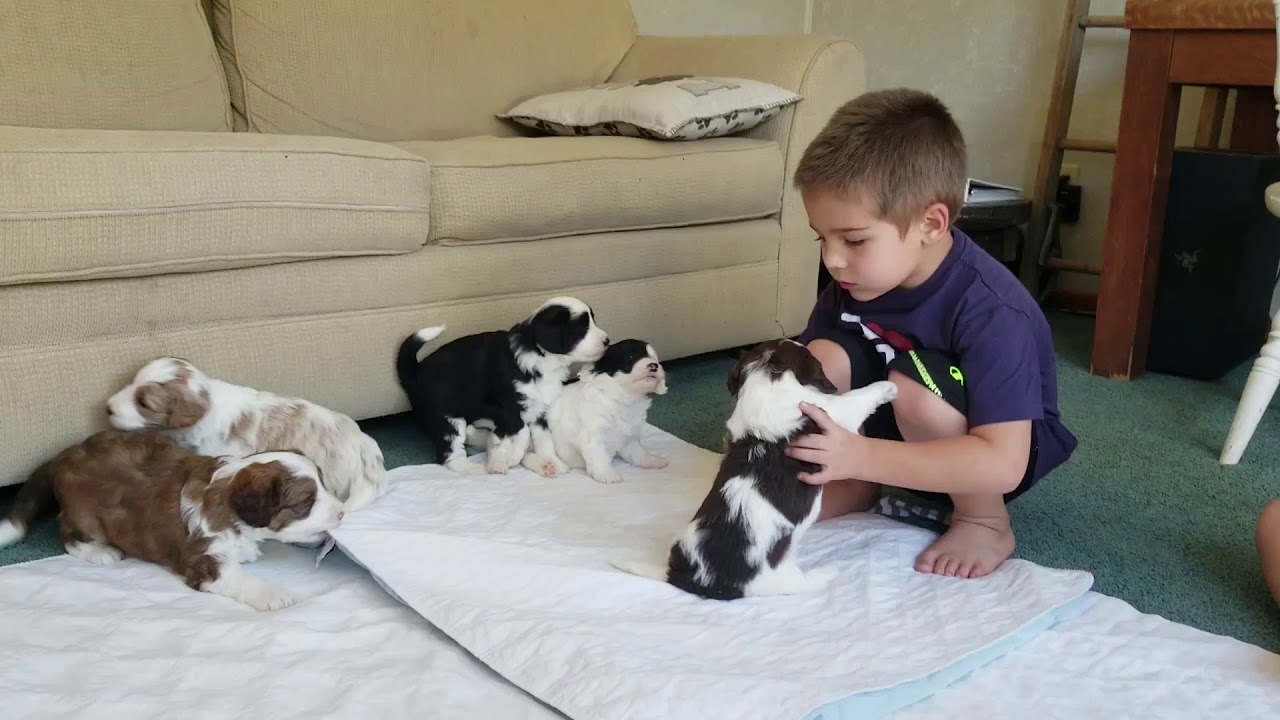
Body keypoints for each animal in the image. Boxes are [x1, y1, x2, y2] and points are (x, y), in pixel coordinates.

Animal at [0, 427, 345, 607]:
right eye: (305, 502)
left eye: (324, 484)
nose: (342, 513)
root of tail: (65, 454)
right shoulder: (204, 560)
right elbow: (238, 577)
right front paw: (273, 595)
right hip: (85, 518)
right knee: (68, 534)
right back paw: (101, 552)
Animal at [394, 297, 609, 476]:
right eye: (581, 328)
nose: (607, 340)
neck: (542, 359)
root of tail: (416, 371)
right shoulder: (500, 409)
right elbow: (522, 430)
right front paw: (513, 455)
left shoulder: (539, 410)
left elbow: (544, 439)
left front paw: (551, 460)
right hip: (448, 420)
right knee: (449, 455)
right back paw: (476, 468)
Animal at [545, 335, 670, 481]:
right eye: (631, 356)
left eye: (654, 358)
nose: (654, 365)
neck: (621, 398)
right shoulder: (593, 434)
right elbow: (598, 455)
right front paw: (606, 474)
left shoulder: (628, 435)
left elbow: (637, 451)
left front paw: (650, 461)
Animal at [611, 338, 896, 597]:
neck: (767, 379)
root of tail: (693, 578)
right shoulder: (833, 414)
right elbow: (858, 397)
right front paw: (889, 387)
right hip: (778, 577)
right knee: (802, 584)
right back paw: (825, 573)